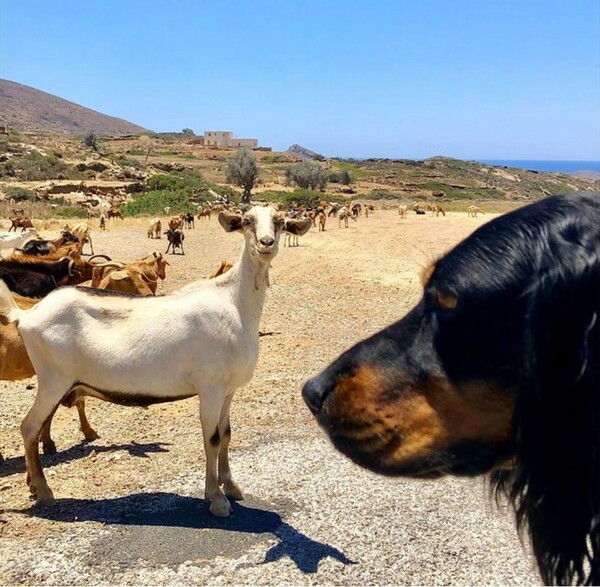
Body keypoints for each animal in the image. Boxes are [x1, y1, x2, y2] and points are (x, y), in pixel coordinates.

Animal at [0, 204, 288, 516]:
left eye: (280, 221)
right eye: (247, 221)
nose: (266, 244)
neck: (233, 303)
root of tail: (27, 316)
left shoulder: (228, 390)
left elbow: (225, 434)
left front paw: (231, 487)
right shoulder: (210, 388)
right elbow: (211, 438)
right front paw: (216, 498)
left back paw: (34, 486)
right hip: (54, 380)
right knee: (29, 427)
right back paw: (44, 492)